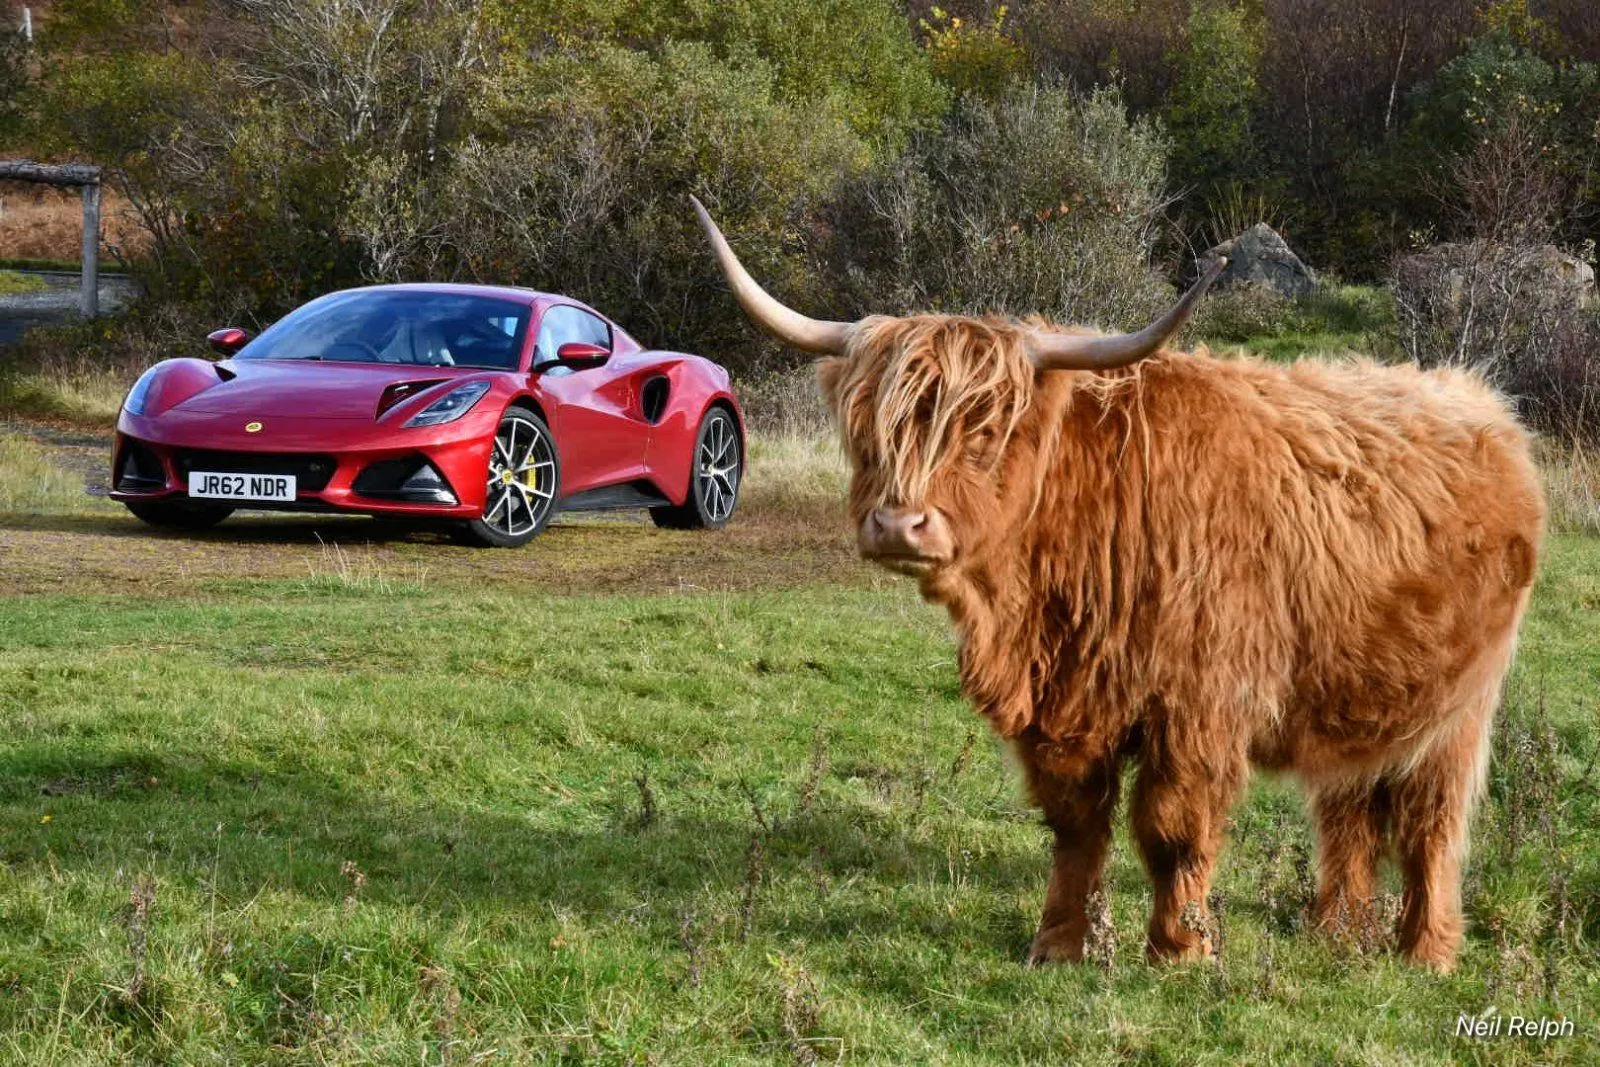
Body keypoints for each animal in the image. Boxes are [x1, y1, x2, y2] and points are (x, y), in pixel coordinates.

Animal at [691, 196, 1545, 972]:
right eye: (874, 425)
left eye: (985, 430)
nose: (899, 525)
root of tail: (1484, 403)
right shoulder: (1065, 710)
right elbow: (1076, 827)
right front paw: (1059, 944)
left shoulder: (1200, 704)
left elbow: (1171, 830)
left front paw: (1181, 949)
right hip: (1359, 697)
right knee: (1349, 815)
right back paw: (1334, 933)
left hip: (1460, 706)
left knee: (1432, 823)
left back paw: (1425, 950)